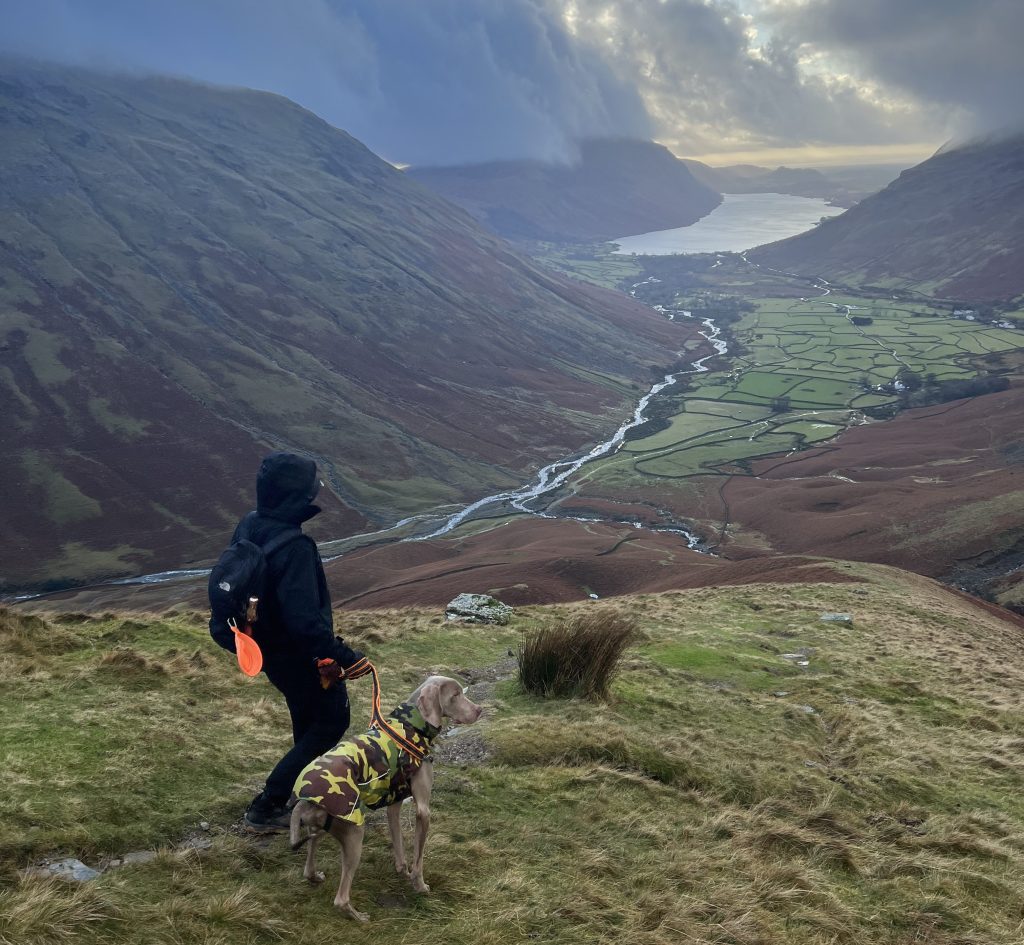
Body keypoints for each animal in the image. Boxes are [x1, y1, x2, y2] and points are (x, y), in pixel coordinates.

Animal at [286, 675, 481, 921]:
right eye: (456, 695)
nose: (480, 710)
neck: (410, 728)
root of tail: (303, 799)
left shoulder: (394, 804)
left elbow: (398, 842)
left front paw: (402, 870)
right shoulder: (423, 811)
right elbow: (419, 858)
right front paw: (420, 886)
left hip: (319, 828)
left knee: (308, 867)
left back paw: (315, 877)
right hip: (354, 832)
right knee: (341, 898)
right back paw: (358, 916)